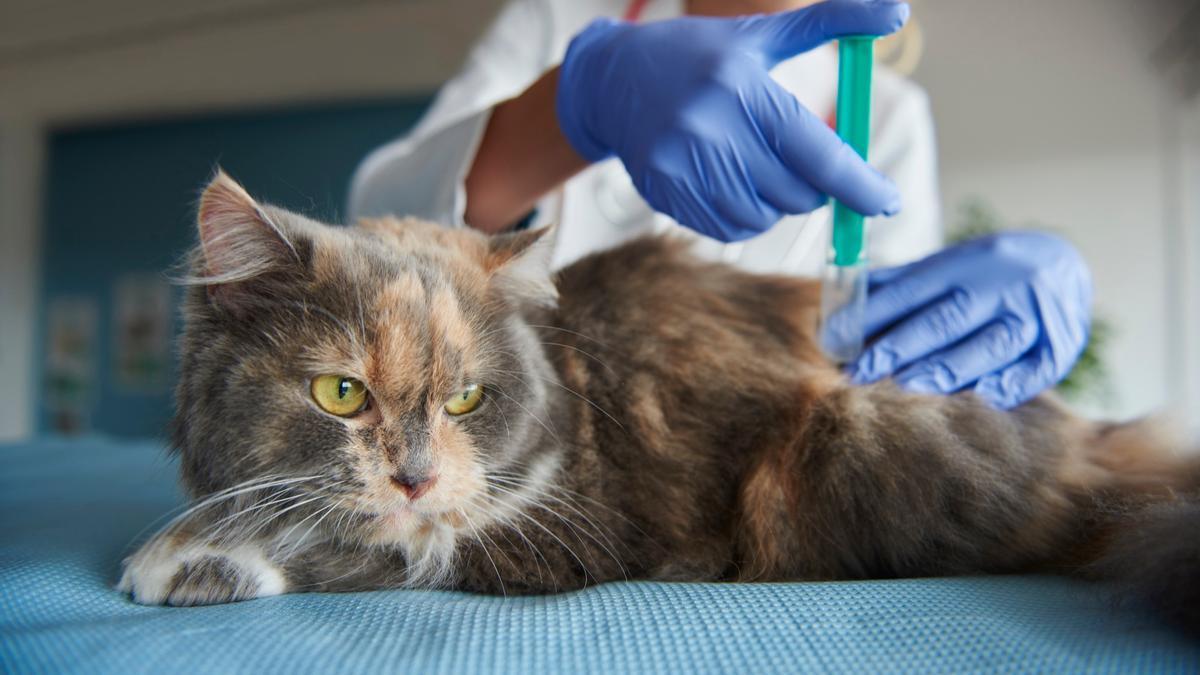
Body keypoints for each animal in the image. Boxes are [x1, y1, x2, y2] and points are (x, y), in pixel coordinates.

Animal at [119, 170, 1200, 629]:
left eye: (466, 401)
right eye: (341, 393)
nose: (417, 478)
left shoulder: (570, 529)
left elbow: (361, 544)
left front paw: (180, 556)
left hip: (840, 446)